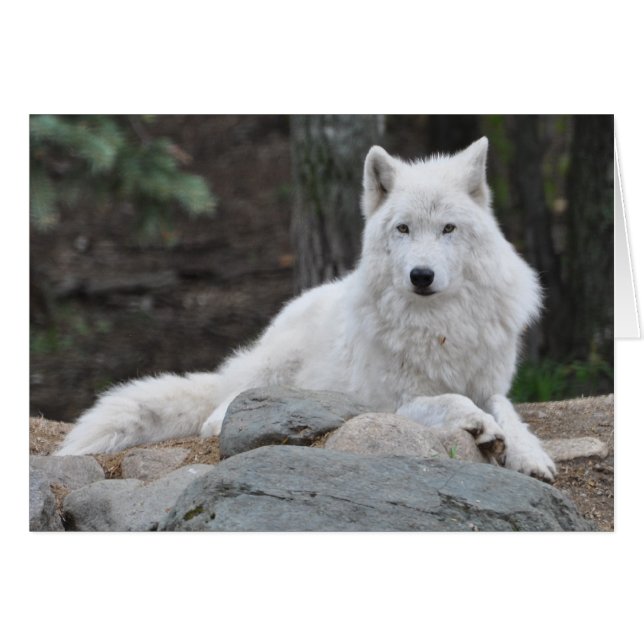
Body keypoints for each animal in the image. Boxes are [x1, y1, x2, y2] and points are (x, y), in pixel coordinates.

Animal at [57, 137, 556, 481]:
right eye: (403, 229)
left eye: (448, 228)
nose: (421, 275)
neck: (440, 325)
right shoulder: (385, 400)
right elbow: (449, 400)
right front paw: (478, 424)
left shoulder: (490, 381)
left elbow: (508, 410)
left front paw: (530, 455)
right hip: (274, 366)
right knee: (219, 410)